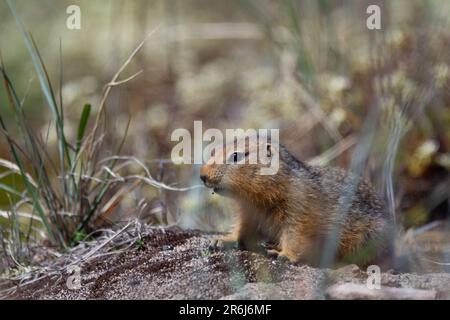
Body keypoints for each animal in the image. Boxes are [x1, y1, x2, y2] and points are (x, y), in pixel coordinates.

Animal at [200, 134, 394, 268]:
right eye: (214, 150)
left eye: (236, 156)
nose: (202, 175)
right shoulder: (247, 213)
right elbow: (242, 230)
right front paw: (221, 240)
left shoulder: (299, 211)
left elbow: (295, 236)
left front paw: (284, 255)